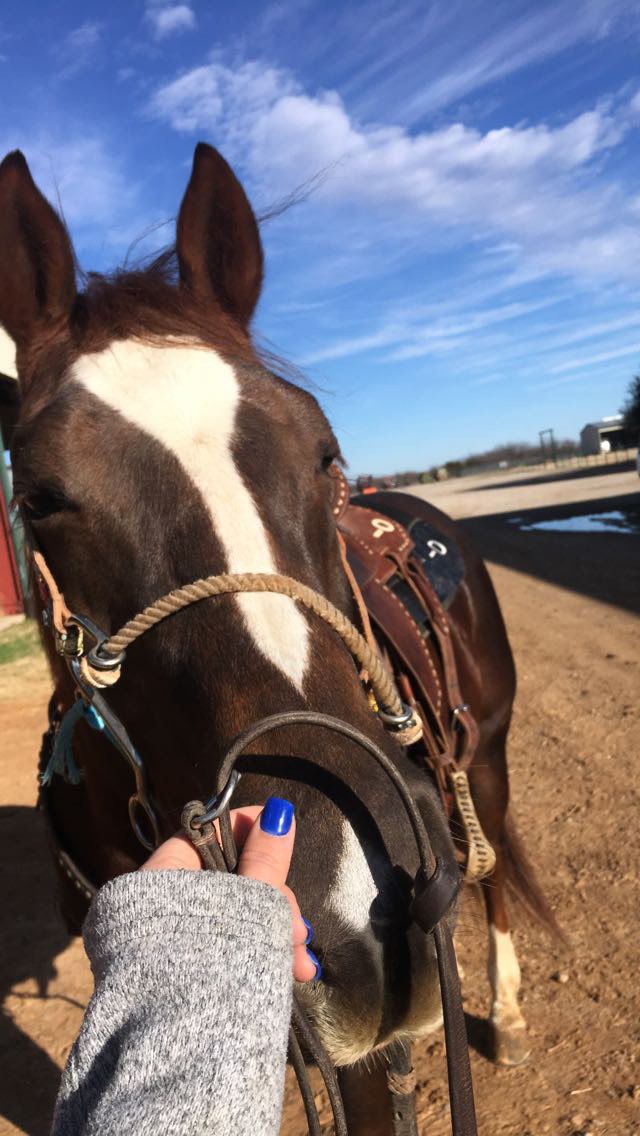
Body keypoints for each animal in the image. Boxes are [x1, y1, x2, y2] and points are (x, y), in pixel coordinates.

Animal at [0, 143, 553, 1133]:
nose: (352, 896)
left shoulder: (372, 1052)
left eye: (325, 451)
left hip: (482, 757)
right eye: (40, 498)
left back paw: (512, 1010)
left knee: (491, 865)